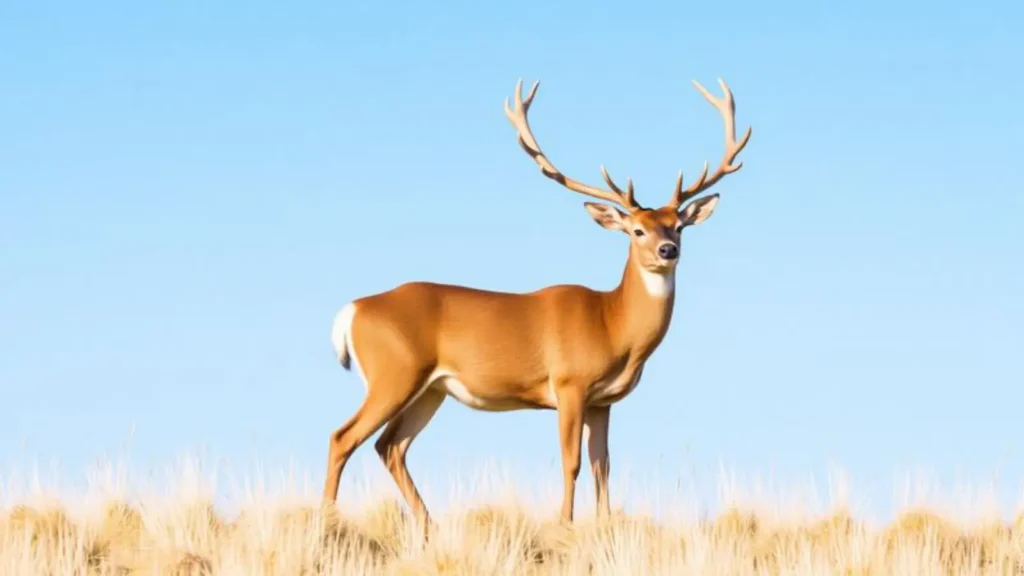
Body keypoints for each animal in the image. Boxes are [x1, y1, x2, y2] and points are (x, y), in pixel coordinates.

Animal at [323, 77, 752, 536]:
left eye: (679, 227)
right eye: (636, 230)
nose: (668, 251)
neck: (612, 324)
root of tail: (353, 310)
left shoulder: (603, 401)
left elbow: (603, 466)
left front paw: (603, 524)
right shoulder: (568, 383)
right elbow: (572, 461)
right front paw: (564, 524)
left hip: (431, 388)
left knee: (390, 446)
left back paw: (429, 526)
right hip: (394, 372)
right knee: (343, 437)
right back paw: (327, 520)